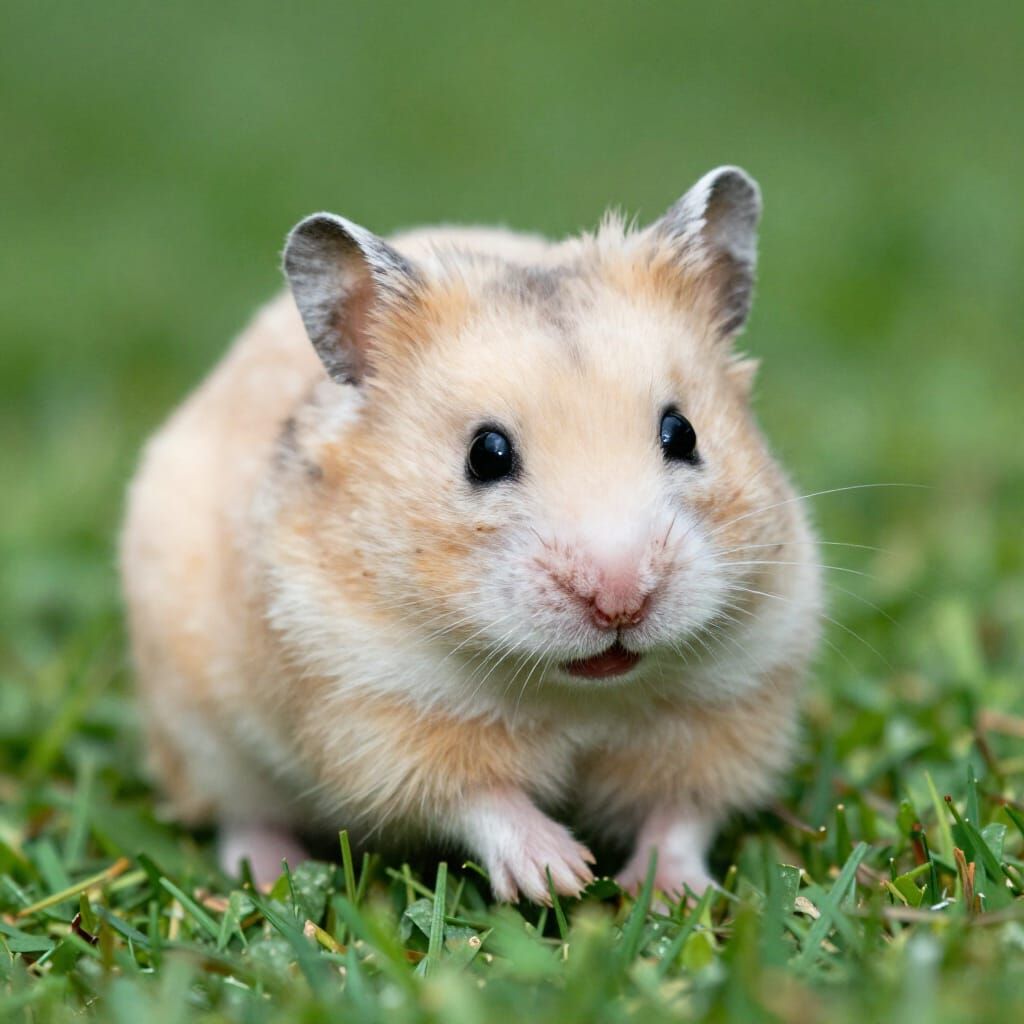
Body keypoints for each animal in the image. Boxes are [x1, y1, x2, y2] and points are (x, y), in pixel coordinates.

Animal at [120, 166, 821, 902]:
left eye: (682, 434)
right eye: (486, 454)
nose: (619, 601)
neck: (578, 692)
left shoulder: (739, 692)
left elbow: (682, 812)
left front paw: (669, 892)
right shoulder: (373, 710)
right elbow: (476, 797)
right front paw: (560, 876)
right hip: (200, 735)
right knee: (239, 814)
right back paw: (270, 872)